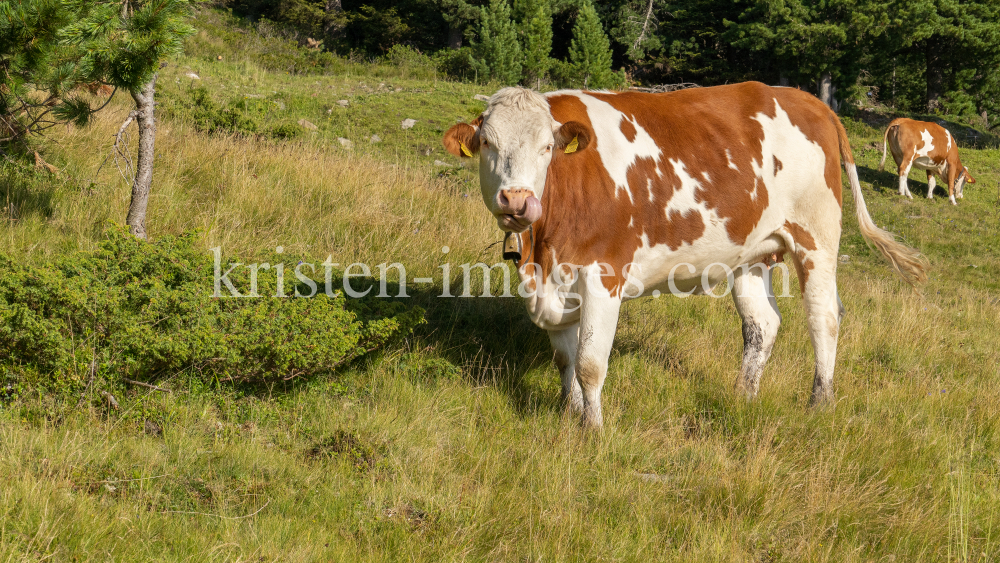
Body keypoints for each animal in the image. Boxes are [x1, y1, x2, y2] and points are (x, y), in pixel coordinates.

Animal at [442, 82, 924, 428]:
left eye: (546, 148)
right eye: (487, 144)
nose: (516, 200)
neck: (540, 250)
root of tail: (809, 100)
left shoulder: (604, 274)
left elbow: (591, 364)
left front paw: (592, 432)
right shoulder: (553, 282)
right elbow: (566, 361)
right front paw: (568, 417)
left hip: (816, 236)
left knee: (823, 317)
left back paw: (819, 404)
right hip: (753, 253)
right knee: (762, 325)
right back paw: (742, 397)